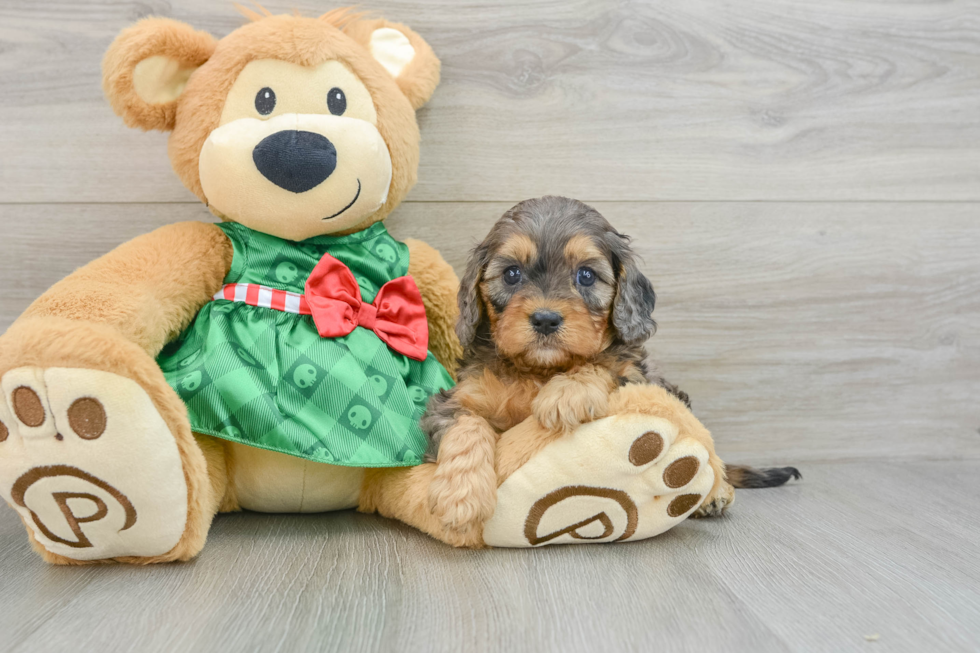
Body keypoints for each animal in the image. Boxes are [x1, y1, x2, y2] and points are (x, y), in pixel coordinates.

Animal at [422, 194, 796, 536]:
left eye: (586, 275)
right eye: (512, 274)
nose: (545, 319)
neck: (540, 370)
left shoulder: (637, 377)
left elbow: (603, 364)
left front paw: (567, 393)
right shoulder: (456, 399)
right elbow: (466, 428)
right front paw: (461, 496)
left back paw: (715, 492)